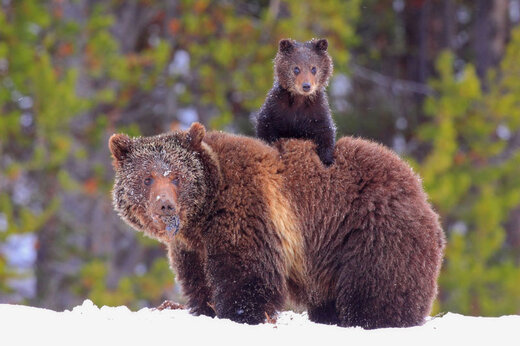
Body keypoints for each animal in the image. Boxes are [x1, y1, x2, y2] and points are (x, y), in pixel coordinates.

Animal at [108, 123, 442, 328]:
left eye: (176, 176)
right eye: (147, 177)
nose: (165, 205)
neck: (203, 214)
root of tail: (418, 185)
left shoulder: (246, 211)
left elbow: (245, 276)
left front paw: (240, 314)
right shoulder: (191, 247)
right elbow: (198, 281)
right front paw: (205, 309)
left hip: (370, 230)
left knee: (378, 287)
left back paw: (376, 320)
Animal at [254, 38, 336, 166]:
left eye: (314, 68)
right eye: (296, 68)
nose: (306, 86)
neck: (299, 100)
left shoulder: (316, 112)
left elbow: (326, 132)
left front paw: (327, 160)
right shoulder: (275, 109)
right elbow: (265, 129)